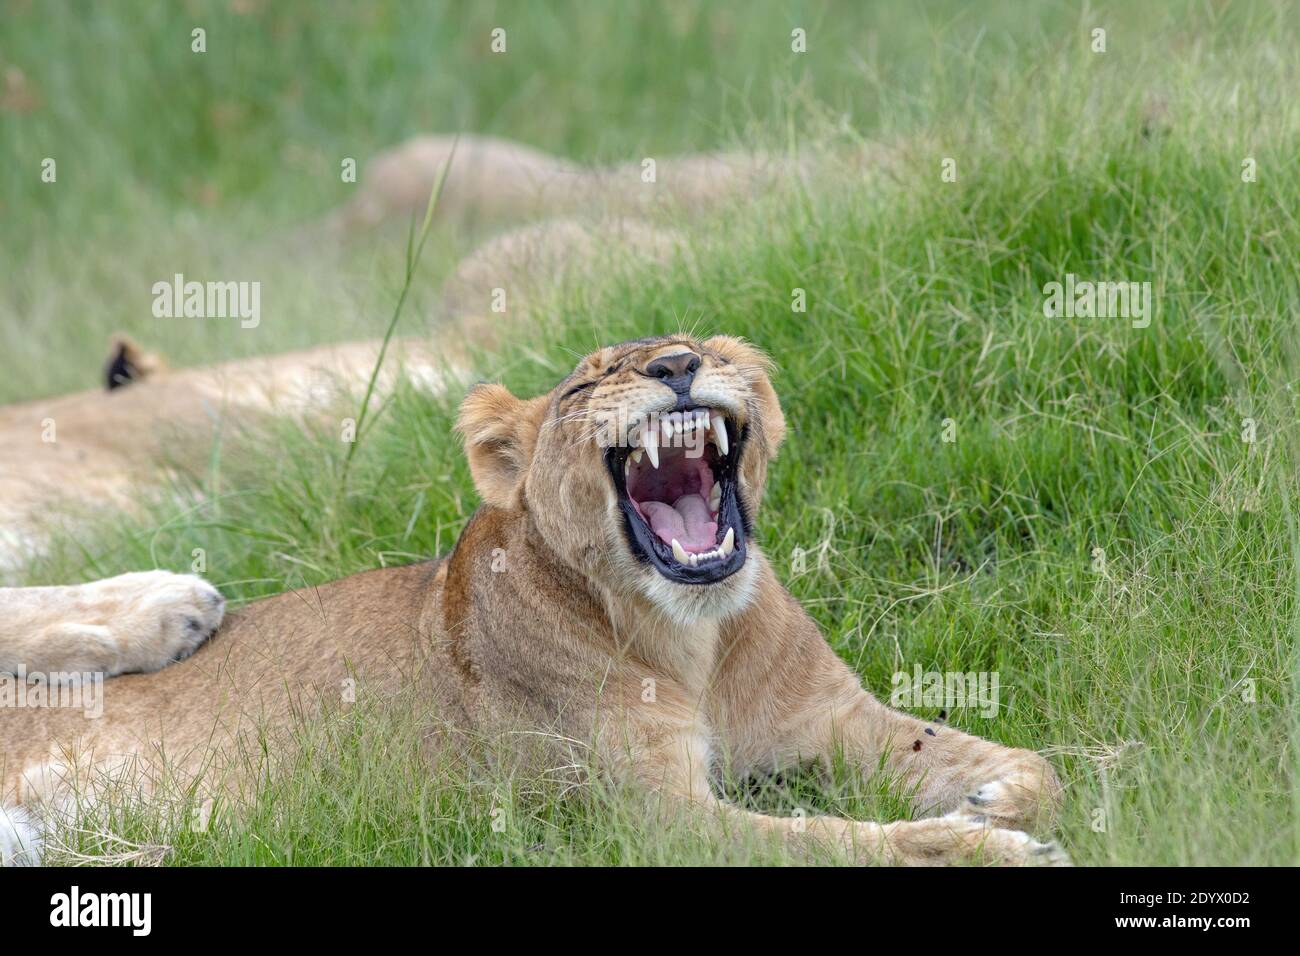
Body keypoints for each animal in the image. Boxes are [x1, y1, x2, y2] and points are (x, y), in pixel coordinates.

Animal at [0, 335, 1066, 868]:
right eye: (588, 385)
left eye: (701, 350)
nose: (677, 368)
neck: (694, 640)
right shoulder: (649, 822)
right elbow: (834, 845)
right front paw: (988, 852)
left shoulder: (834, 719)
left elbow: (1029, 761)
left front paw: (994, 798)